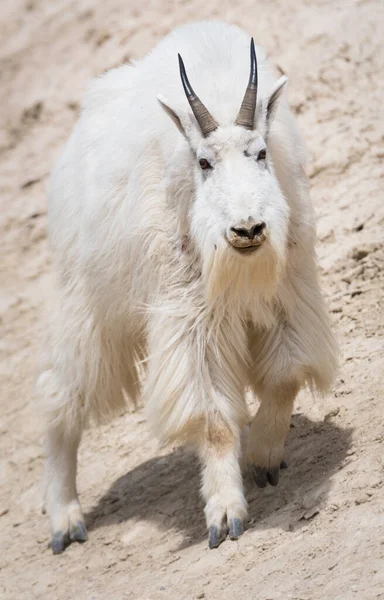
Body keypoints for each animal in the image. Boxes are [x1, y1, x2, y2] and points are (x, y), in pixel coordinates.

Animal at [39, 19, 338, 552]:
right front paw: (225, 515)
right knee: (61, 395)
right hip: (88, 303)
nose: (247, 229)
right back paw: (64, 520)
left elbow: (285, 376)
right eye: (203, 162)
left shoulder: (287, 294)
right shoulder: (191, 314)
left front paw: (263, 456)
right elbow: (213, 418)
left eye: (261, 153)